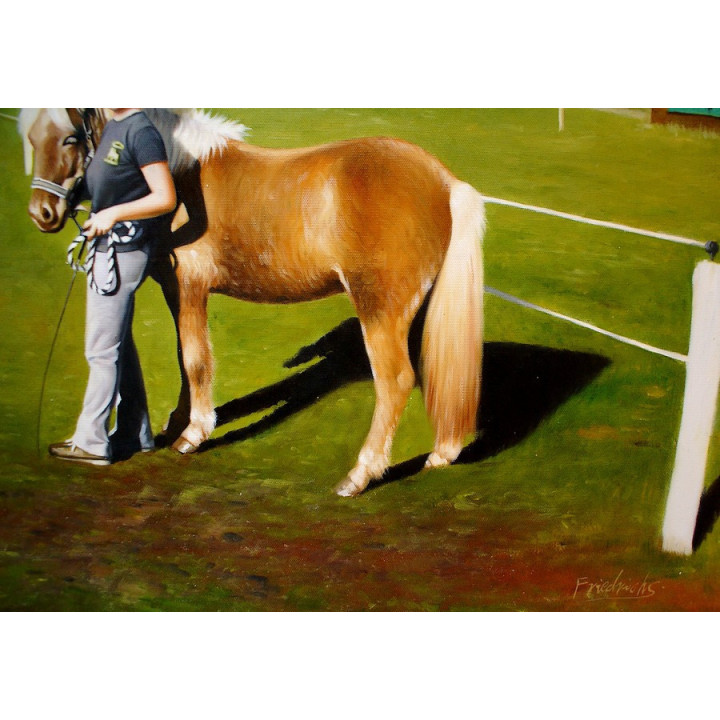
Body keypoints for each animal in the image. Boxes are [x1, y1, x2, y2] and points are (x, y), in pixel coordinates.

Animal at [19, 108, 485, 497]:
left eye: (69, 138)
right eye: (30, 137)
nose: (42, 212)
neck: (177, 175)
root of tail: (445, 182)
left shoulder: (190, 286)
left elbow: (195, 359)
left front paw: (193, 435)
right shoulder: (174, 290)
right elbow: (182, 356)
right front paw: (178, 421)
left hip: (379, 310)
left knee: (395, 382)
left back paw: (360, 475)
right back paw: (442, 452)